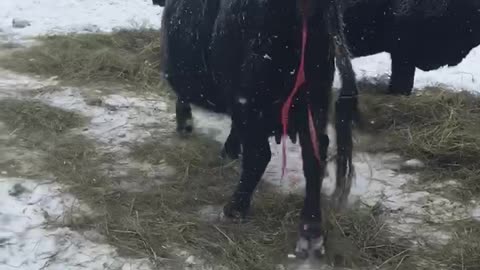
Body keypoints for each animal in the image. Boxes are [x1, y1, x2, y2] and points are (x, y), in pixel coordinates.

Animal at [155, 0, 360, 258]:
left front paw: (188, 127)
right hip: (315, 100)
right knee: (314, 158)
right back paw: (311, 232)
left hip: (255, 101)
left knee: (259, 155)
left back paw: (234, 209)